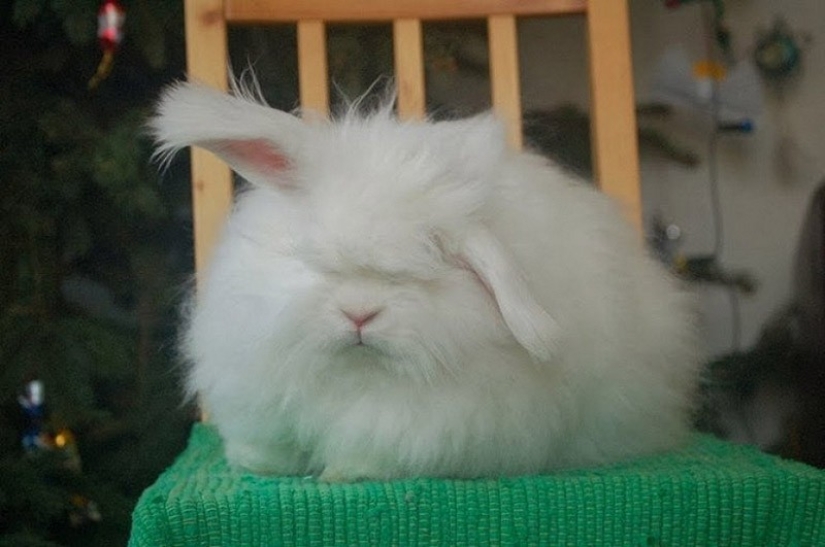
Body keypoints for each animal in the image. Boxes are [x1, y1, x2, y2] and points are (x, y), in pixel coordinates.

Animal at [149, 80, 700, 481]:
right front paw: (257, 465)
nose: (359, 315)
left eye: (427, 263)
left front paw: (342, 474)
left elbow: (373, 454)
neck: (359, 377)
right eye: (319, 260)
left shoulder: (430, 427)